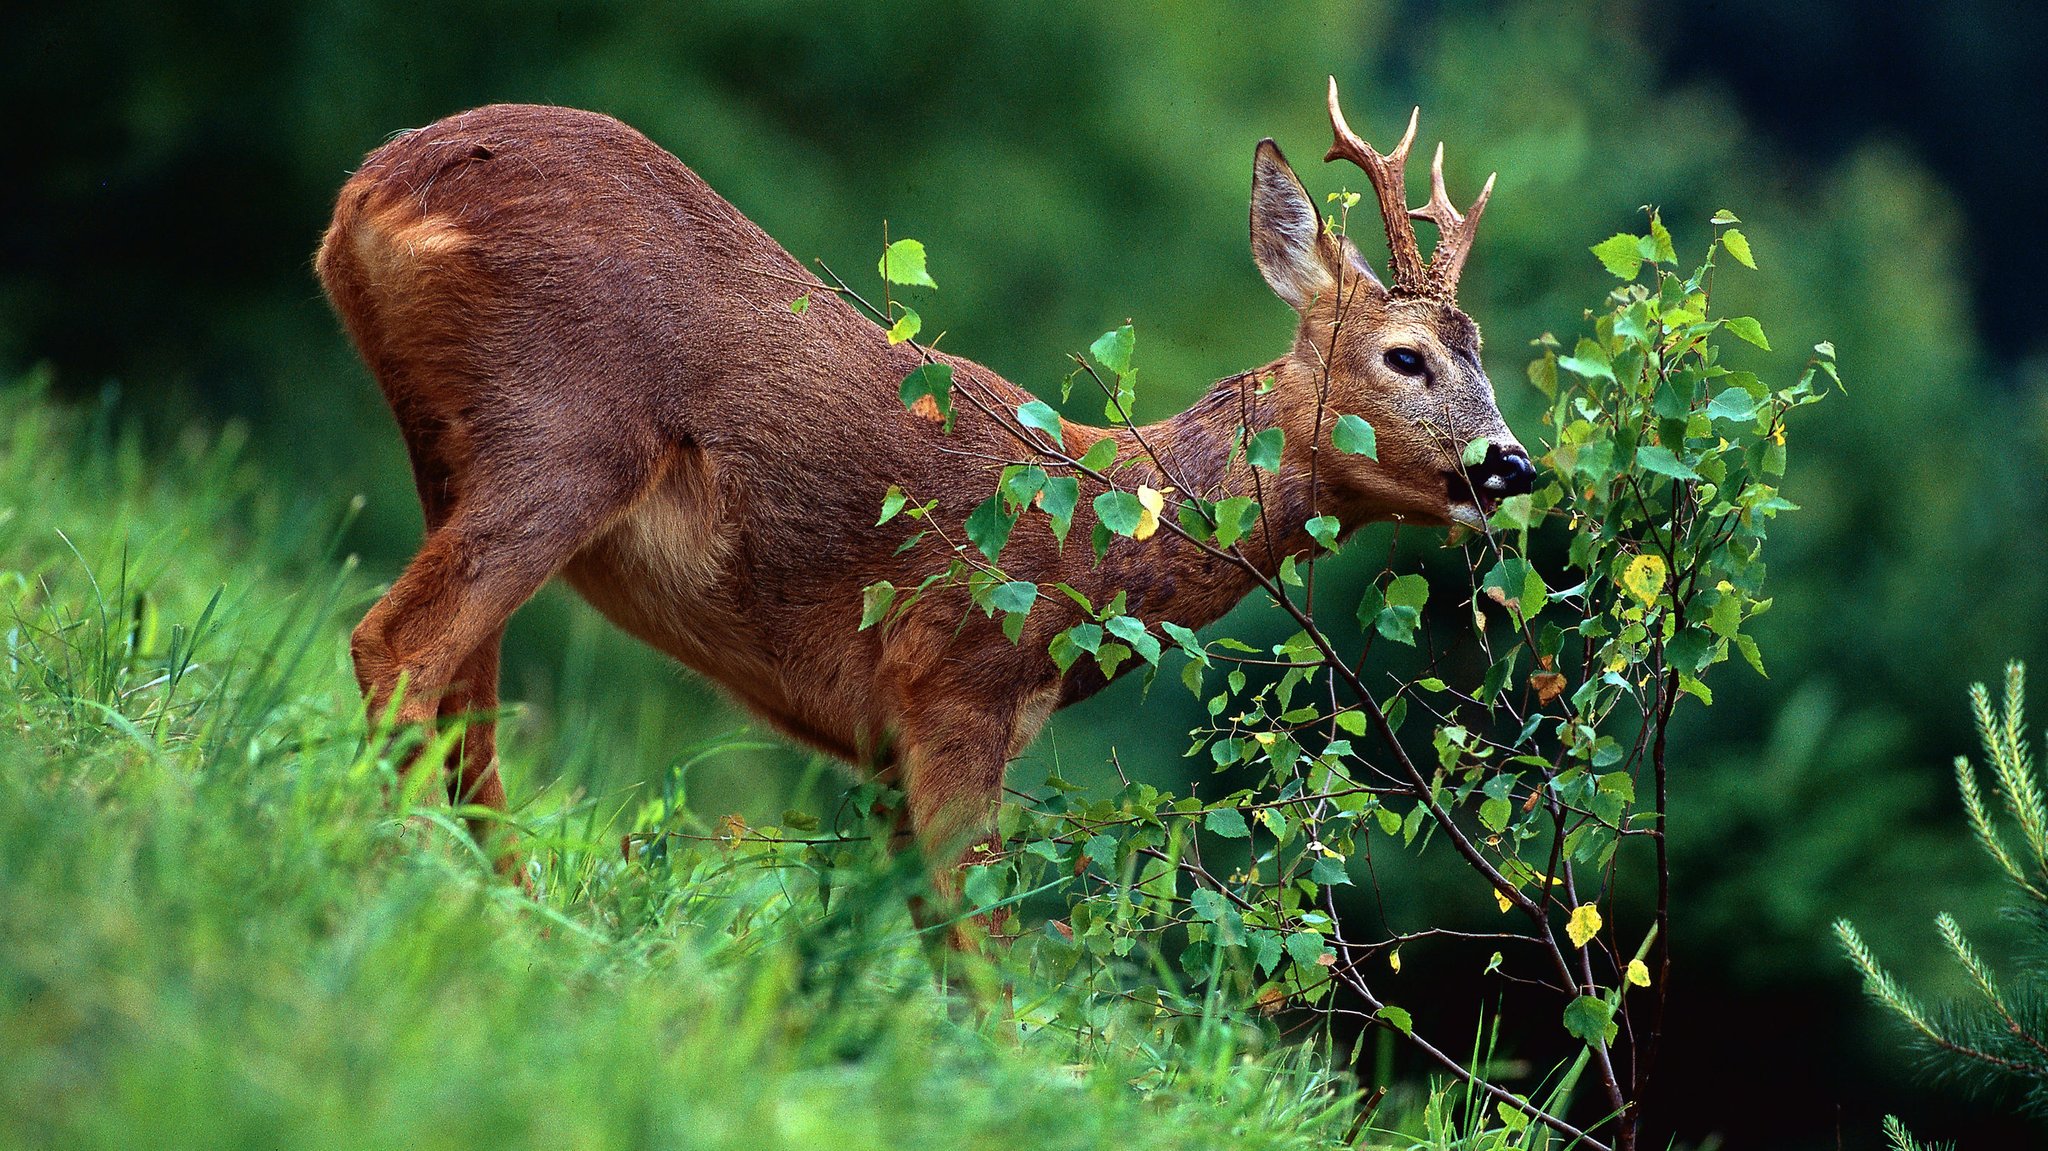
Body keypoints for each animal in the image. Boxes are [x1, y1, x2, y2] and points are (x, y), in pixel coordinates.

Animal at [319, 76, 1531, 925]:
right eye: (1407, 355)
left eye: (1484, 351)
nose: (1511, 464)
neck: (1097, 538)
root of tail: (371, 189)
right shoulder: (953, 683)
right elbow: (980, 948)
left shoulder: (889, 750)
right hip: (565, 429)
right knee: (400, 644)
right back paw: (404, 876)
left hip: (453, 447)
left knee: (465, 694)